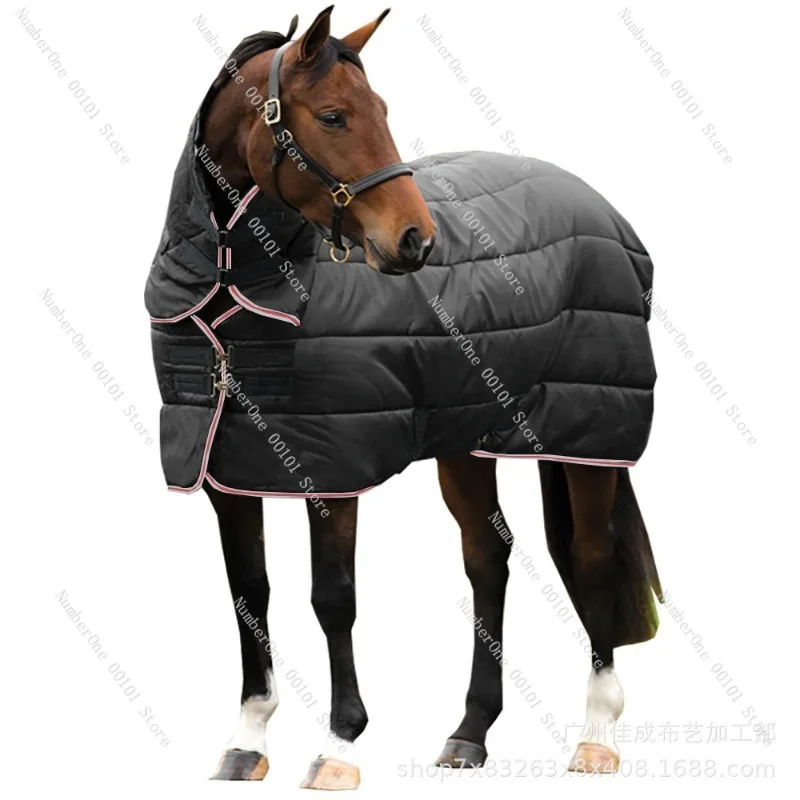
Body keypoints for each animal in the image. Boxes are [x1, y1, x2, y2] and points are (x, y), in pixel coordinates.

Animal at [146, 7, 662, 787]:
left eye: (382, 111)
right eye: (333, 115)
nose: (416, 240)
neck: (242, 283)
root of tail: (603, 210)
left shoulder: (329, 470)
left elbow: (333, 598)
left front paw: (339, 746)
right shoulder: (226, 470)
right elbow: (249, 593)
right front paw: (247, 742)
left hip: (588, 436)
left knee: (593, 556)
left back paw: (596, 734)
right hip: (467, 440)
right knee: (488, 557)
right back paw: (470, 733)